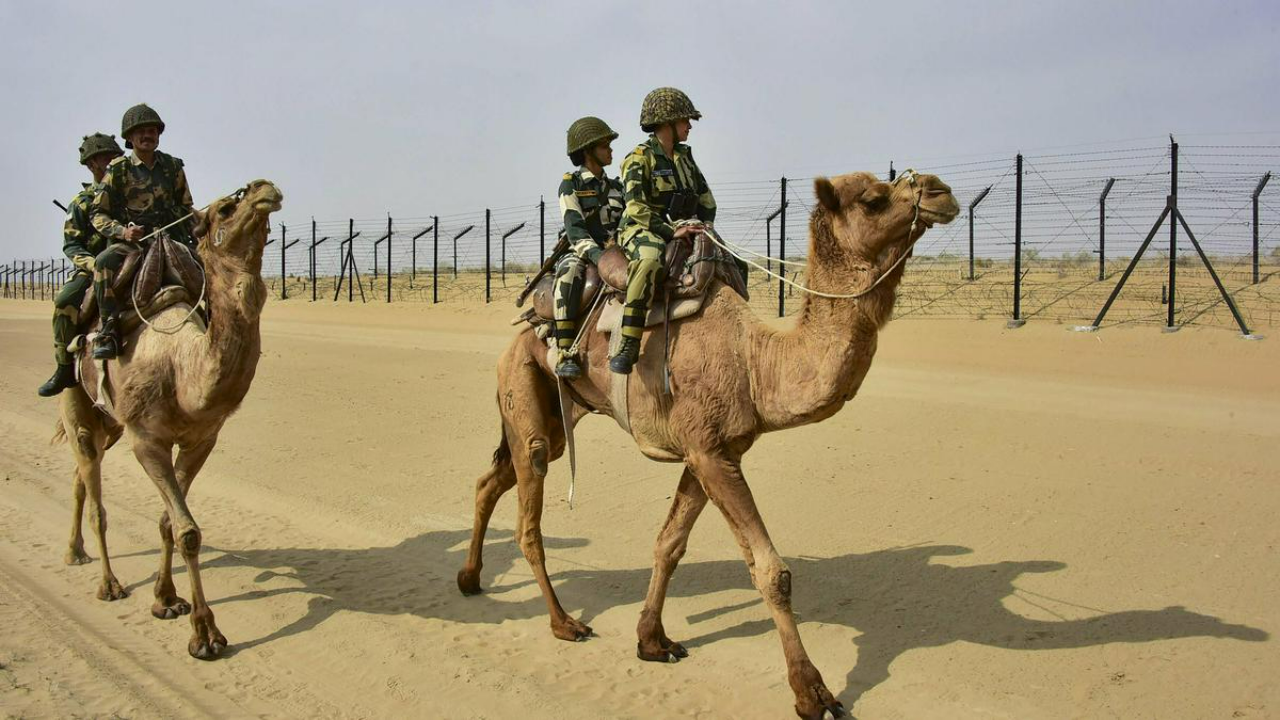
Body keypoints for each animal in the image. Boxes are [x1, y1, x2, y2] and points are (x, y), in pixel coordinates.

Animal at [55, 178, 285, 655]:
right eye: (225, 208)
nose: (265, 188)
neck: (182, 369)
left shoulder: (201, 439)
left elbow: (169, 523)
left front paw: (166, 600)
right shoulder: (147, 442)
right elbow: (188, 531)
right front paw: (206, 634)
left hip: (111, 424)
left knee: (80, 475)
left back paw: (75, 551)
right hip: (77, 400)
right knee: (94, 491)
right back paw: (108, 583)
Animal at [460, 169, 962, 717]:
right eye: (873, 199)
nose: (940, 191)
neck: (755, 362)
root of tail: (523, 326)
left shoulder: (712, 452)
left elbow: (669, 543)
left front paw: (651, 640)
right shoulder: (710, 454)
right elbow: (771, 571)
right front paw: (812, 692)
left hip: (554, 409)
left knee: (492, 478)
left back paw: (470, 578)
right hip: (525, 385)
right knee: (529, 513)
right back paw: (563, 622)